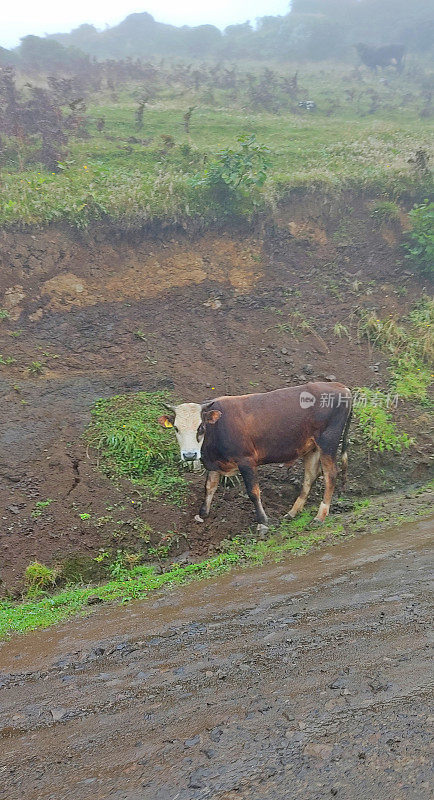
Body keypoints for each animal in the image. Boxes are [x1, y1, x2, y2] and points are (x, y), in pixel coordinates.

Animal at [159, 382, 352, 532]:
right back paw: (292, 512)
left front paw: (263, 520)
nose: (189, 454)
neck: (217, 428)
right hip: (311, 447)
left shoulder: (246, 461)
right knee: (310, 475)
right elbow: (209, 488)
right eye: (176, 428)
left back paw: (320, 516)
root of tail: (341, 387)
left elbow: (253, 492)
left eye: (200, 427)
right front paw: (202, 514)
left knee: (330, 474)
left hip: (328, 442)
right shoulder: (214, 464)